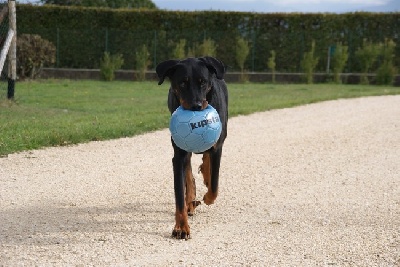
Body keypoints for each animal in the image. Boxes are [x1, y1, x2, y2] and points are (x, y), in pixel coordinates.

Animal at [157, 56, 228, 241]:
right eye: (182, 83)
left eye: (203, 82)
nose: (196, 106)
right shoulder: (178, 154)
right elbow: (179, 194)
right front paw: (181, 227)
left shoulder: (218, 146)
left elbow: (215, 185)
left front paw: (208, 197)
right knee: (188, 171)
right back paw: (191, 201)